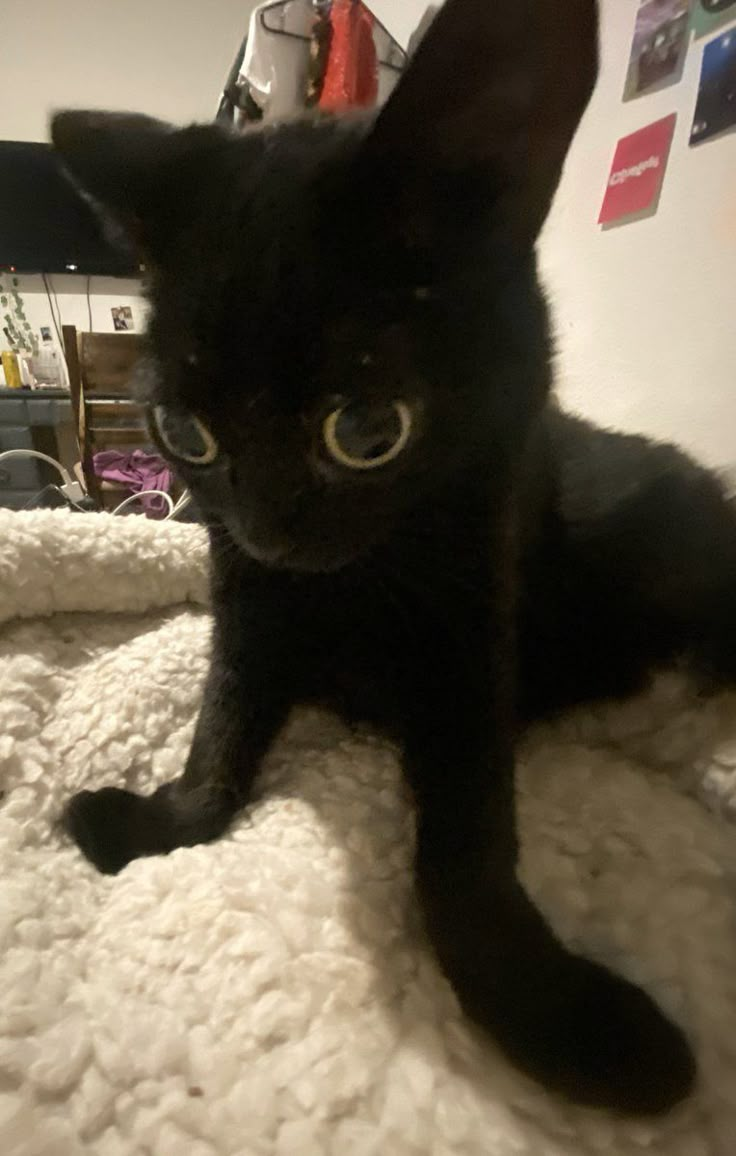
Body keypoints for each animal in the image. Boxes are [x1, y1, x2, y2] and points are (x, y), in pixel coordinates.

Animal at [54, 0, 734, 1114]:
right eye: (183, 432)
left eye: (367, 430)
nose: (269, 533)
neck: (349, 587)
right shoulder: (247, 612)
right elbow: (219, 723)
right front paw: (166, 818)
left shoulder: (469, 644)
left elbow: (465, 848)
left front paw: (567, 1025)